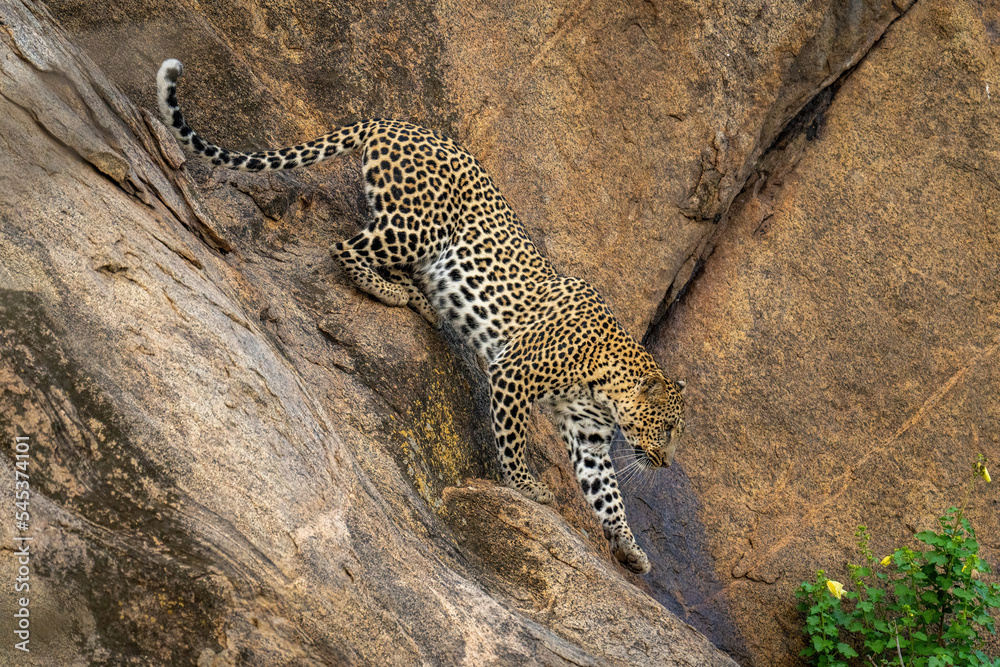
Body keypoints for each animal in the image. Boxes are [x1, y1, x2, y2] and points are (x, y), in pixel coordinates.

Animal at [156, 59, 686, 574]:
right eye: (666, 429)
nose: (664, 464)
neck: (606, 386)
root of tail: (393, 121)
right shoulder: (513, 373)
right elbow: (511, 438)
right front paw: (525, 486)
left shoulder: (589, 436)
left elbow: (608, 495)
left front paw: (629, 546)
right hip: (419, 226)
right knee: (344, 246)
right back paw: (393, 293)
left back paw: (419, 297)